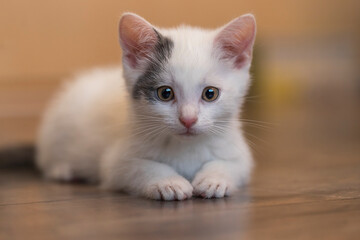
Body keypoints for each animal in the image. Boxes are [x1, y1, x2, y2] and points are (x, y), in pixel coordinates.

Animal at [35, 13, 256, 201]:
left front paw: (214, 179)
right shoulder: (116, 163)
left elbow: (233, 164)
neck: (184, 147)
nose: (188, 119)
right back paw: (64, 170)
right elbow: (140, 166)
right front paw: (168, 182)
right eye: (165, 93)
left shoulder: (238, 152)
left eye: (210, 94)